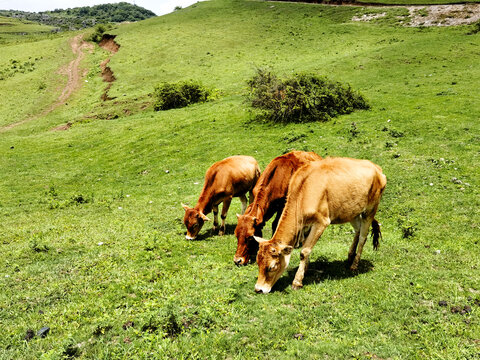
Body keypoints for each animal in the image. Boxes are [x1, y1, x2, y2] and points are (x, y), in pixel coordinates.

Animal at [255, 159, 386, 294]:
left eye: (272, 267)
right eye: (257, 263)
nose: (258, 289)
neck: (302, 192)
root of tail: (376, 167)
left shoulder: (321, 221)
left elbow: (304, 251)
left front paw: (297, 281)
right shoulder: (305, 226)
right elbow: (305, 247)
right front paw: (305, 269)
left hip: (370, 209)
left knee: (363, 237)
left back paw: (354, 265)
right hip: (351, 211)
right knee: (358, 230)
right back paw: (350, 256)